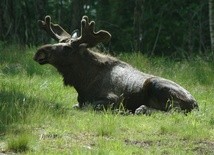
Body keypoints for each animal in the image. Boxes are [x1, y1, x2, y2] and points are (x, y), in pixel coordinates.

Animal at [33, 15, 199, 114]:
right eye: (60, 42)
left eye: (67, 48)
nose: (39, 52)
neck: (82, 81)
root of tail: (196, 104)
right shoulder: (80, 101)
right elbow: (78, 105)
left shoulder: (114, 99)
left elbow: (90, 106)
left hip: (156, 84)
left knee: (173, 110)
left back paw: (142, 109)